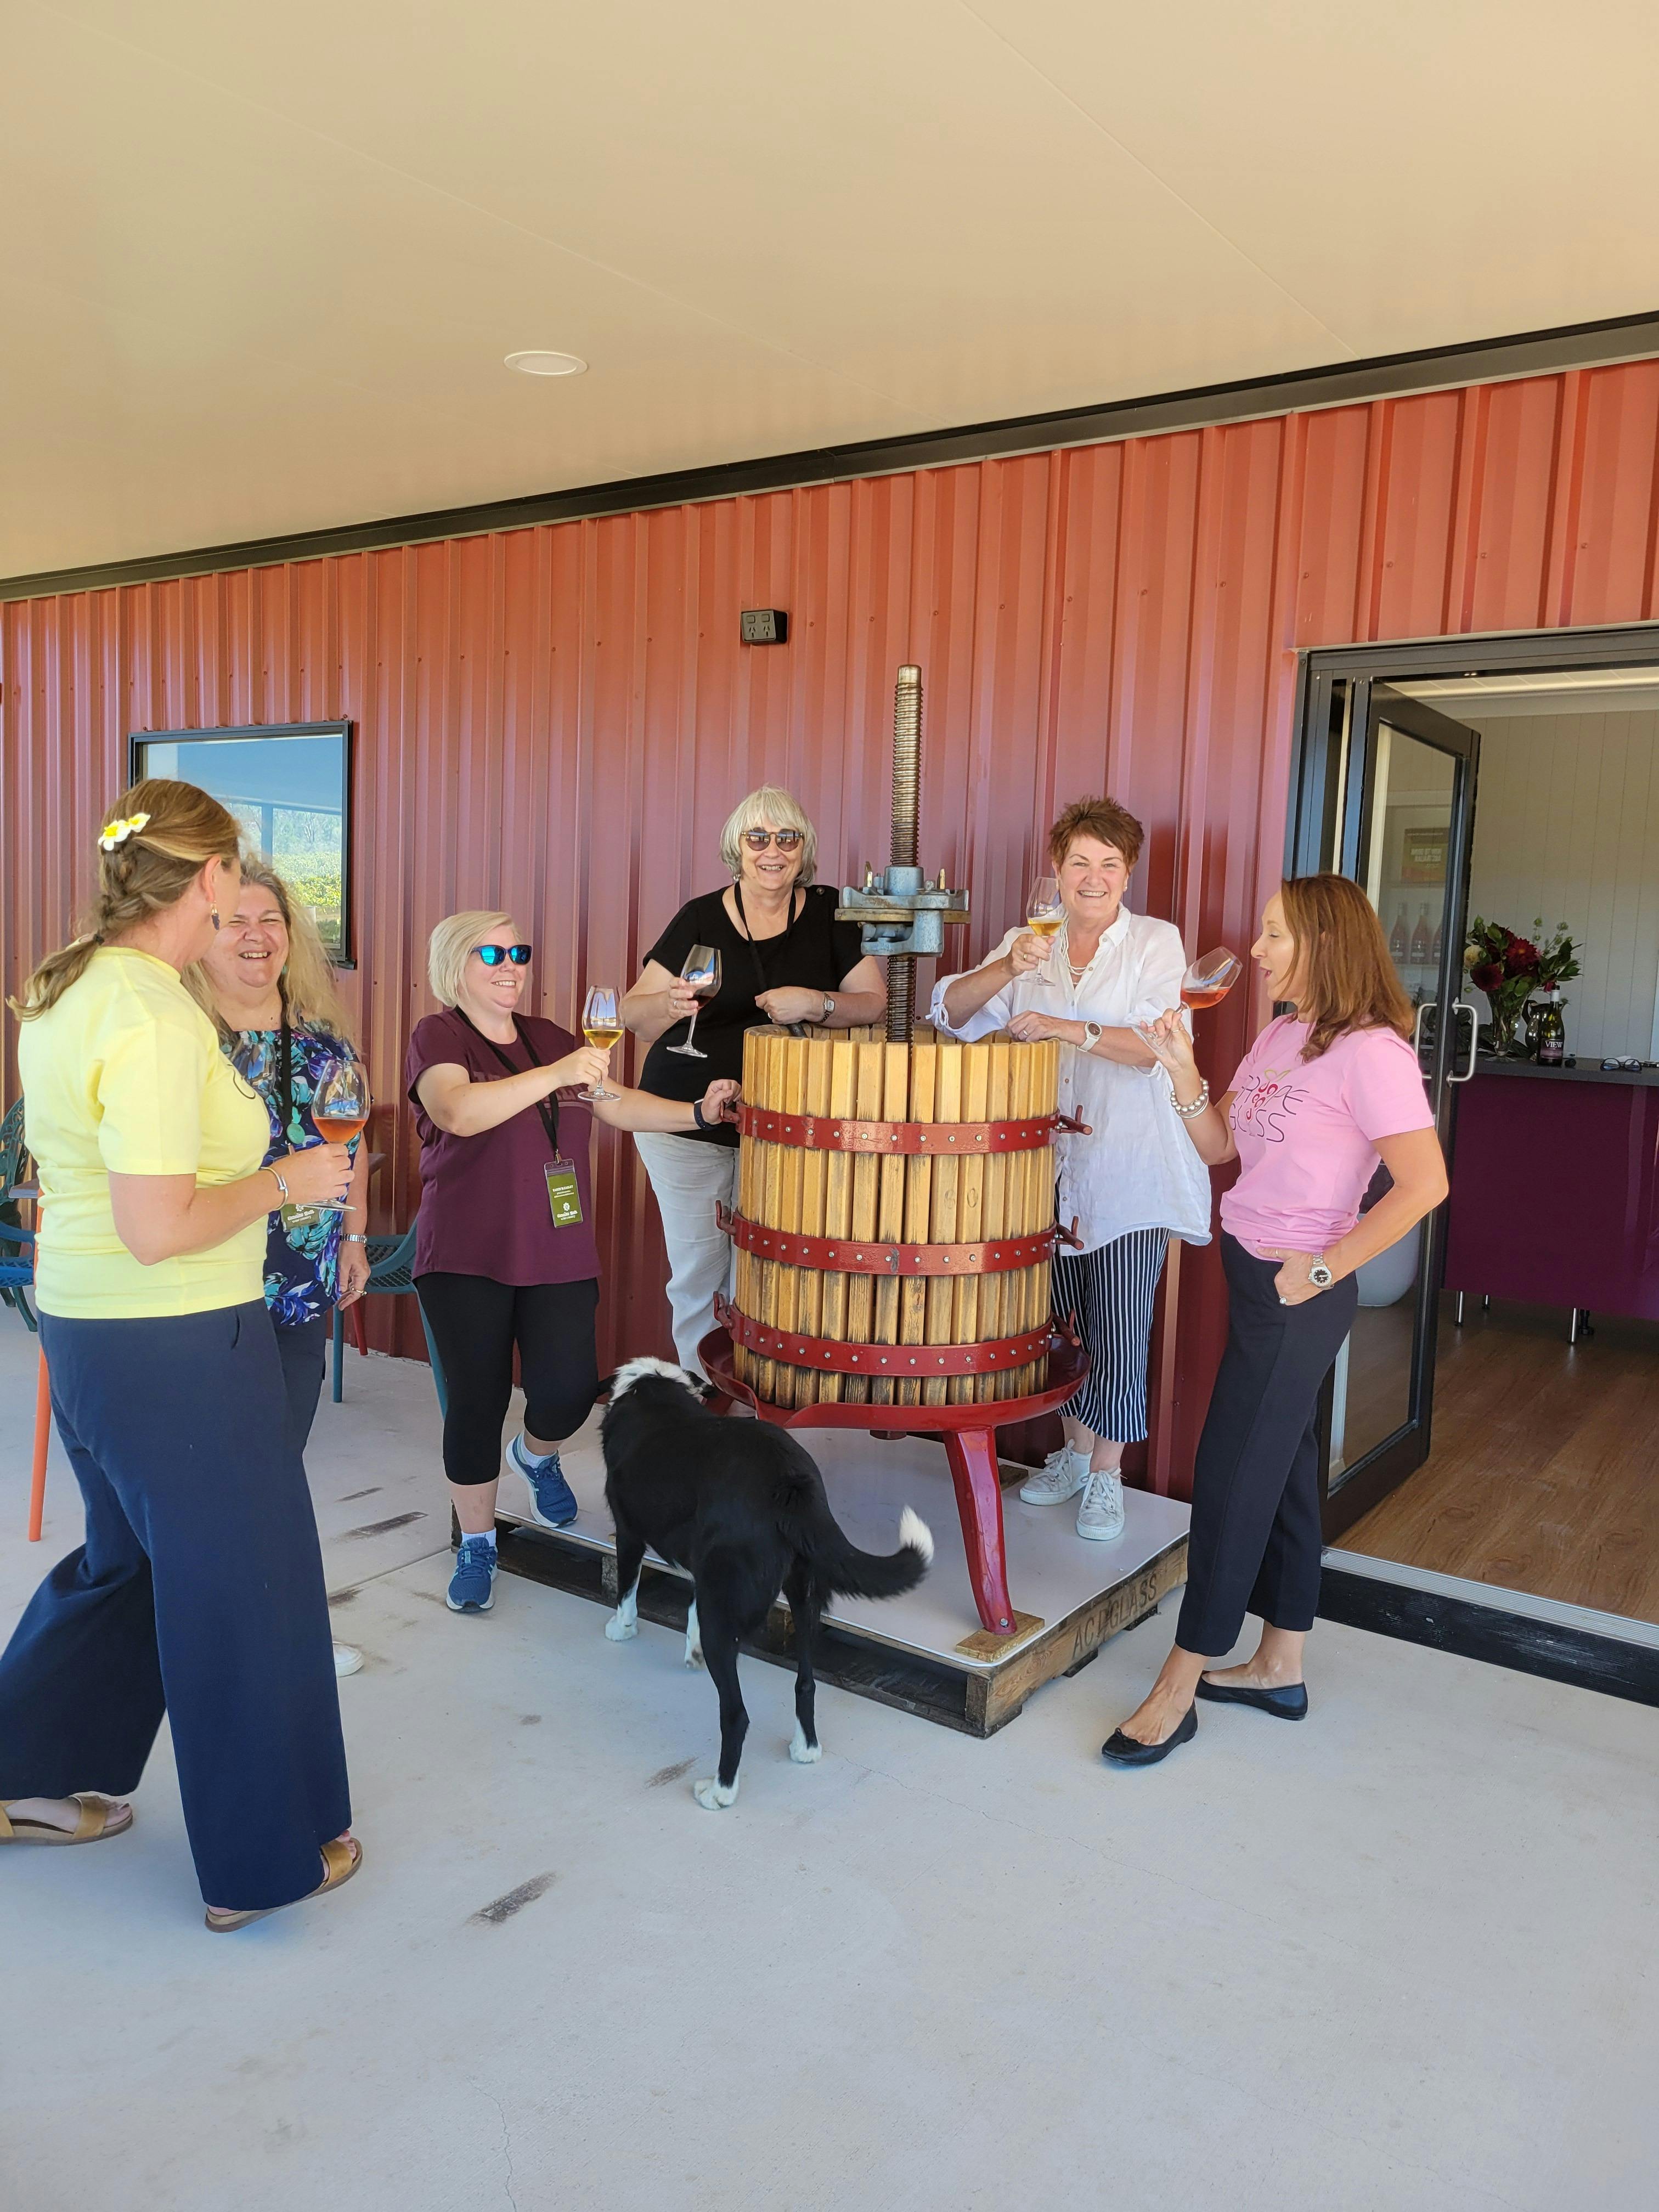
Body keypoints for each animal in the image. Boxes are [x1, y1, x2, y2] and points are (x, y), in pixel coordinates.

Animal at [600, 1357, 933, 1810]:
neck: (653, 1391)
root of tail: (788, 1482)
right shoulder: (707, 1574)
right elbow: (691, 1607)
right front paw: (691, 1649)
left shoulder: (630, 1533)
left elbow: (627, 1591)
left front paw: (621, 1629)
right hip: (805, 1597)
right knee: (806, 1684)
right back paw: (806, 1750)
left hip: (729, 1620)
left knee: (736, 1716)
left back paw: (720, 1792)